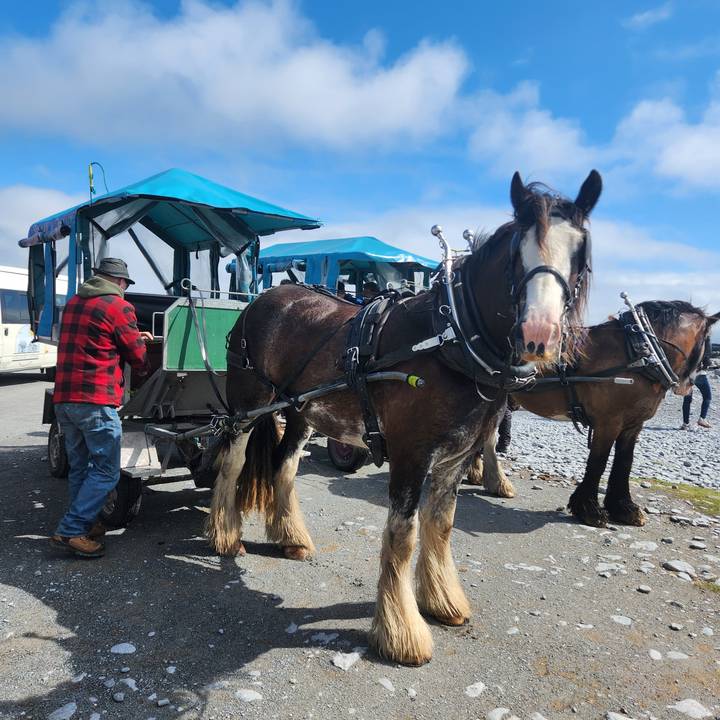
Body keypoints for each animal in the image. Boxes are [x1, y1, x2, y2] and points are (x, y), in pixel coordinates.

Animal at [205, 169, 602, 665]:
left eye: (581, 254)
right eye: (516, 253)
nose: (539, 335)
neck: (451, 341)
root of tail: (265, 298)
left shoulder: (456, 456)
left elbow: (442, 525)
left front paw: (442, 600)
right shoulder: (411, 453)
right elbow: (403, 533)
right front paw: (401, 632)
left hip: (301, 410)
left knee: (285, 465)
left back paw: (289, 536)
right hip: (248, 404)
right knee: (233, 462)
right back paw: (224, 536)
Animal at [470, 300, 718, 527]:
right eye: (707, 341)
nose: (691, 384)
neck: (639, 351)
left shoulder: (632, 425)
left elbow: (624, 462)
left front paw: (624, 508)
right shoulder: (608, 422)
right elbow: (598, 461)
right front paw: (589, 509)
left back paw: (483, 476)